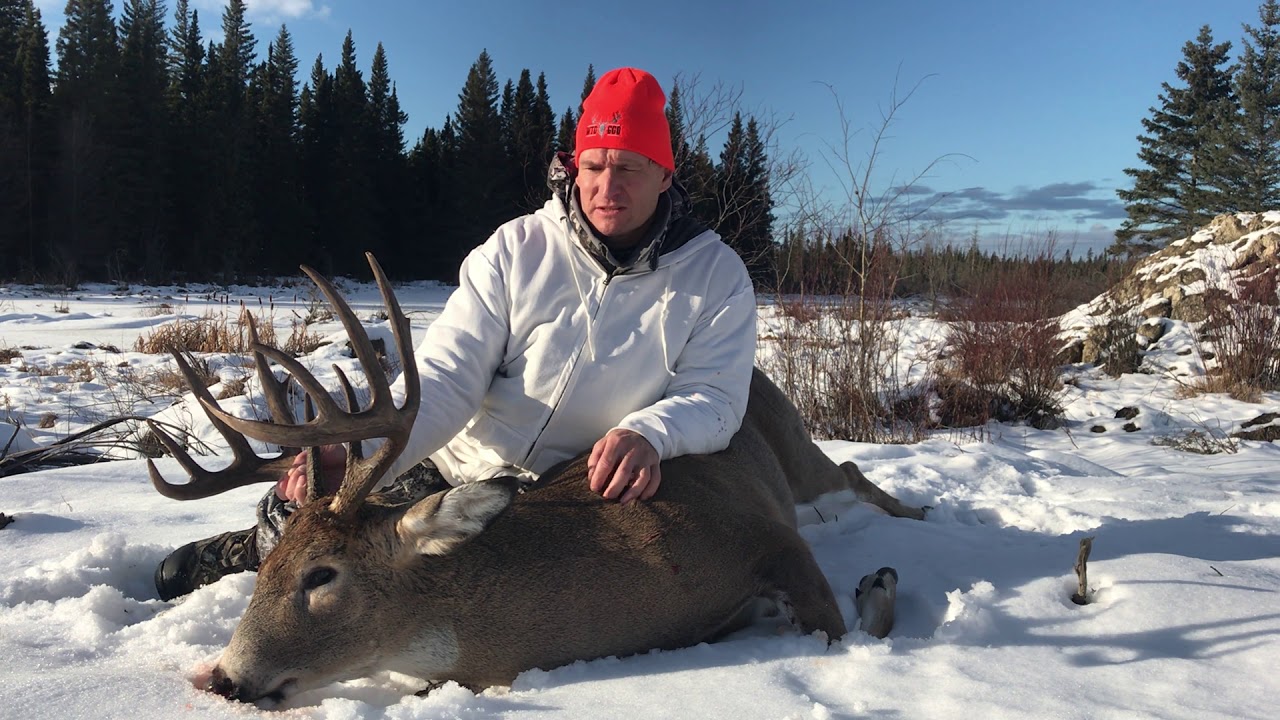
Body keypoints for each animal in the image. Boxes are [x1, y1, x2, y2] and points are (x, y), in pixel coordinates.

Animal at [146, 253, 926, 704]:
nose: (222, 678)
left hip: (798, 458)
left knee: (850, 469)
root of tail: (757, 373)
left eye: (322, 574)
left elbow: (844, 634)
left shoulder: (762, 537)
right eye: (268, 565)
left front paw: (880, 583)